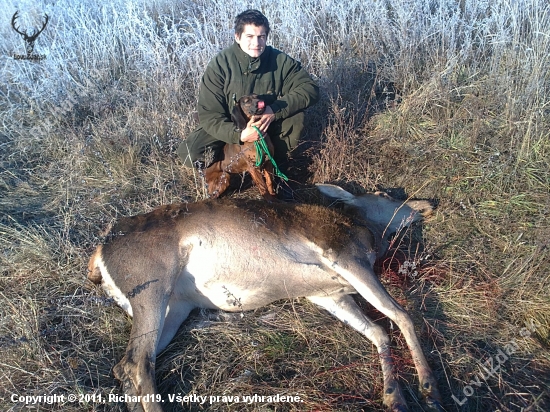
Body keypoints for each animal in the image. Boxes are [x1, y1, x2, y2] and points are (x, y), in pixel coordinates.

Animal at [89, 186, 444, 412]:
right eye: (384, 195)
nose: (427, 205)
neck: (363, 228)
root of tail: (100, 252)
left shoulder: (329, 296)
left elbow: (378, 331)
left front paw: (394, 399)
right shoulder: (346, 258)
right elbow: (402, 316)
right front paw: (430, 390)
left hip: (174, 309)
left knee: (126, 366)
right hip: (150, 287)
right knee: (137, 363)